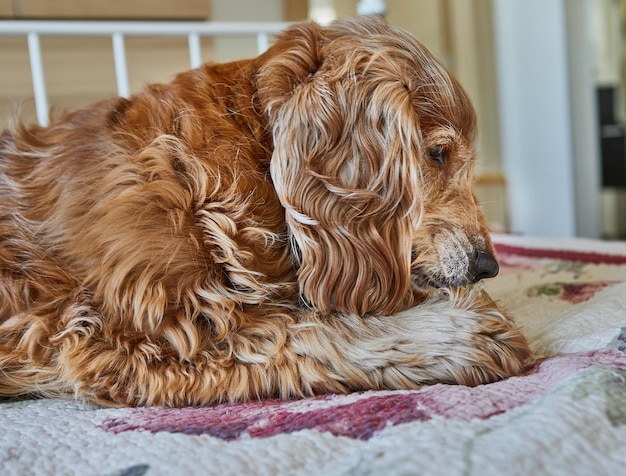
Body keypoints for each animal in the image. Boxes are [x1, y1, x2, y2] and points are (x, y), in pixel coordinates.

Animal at [0, 16, 528, 408]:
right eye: (438, 153)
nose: (488, 265)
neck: (246, 150)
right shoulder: (143, 335)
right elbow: (307, 330)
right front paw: (464, 332)